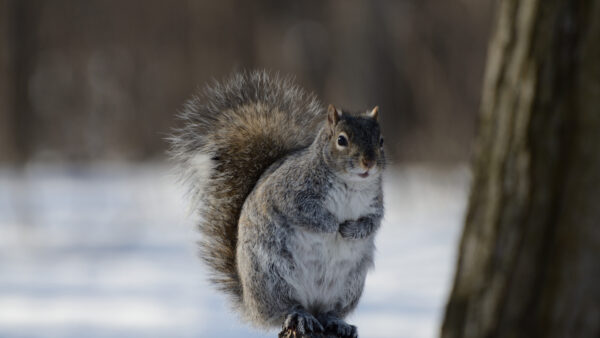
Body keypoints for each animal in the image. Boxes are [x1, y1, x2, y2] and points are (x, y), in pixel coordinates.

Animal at [170, 70, 384, 336]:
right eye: (341, 140)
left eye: (381, 141)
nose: (368, 163)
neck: (351, 184)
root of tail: (252, 306)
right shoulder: (289, 194)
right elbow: (307, 214)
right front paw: (333, 226)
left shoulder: (376, 204)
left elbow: (372, 223)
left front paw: (353, 230)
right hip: (274, 277)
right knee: (286, 308)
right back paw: (300, 316)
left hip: (348, 287)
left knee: (329, 311)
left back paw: (336, 321)